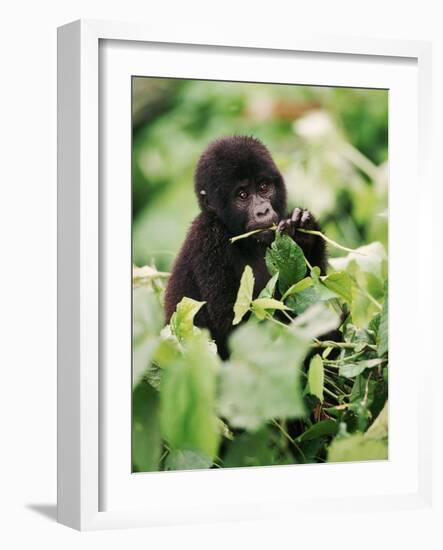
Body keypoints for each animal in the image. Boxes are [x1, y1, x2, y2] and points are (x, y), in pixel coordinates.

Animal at [164, 137, 326, 360]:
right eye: (242, 195)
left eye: (263, 186)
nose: (263, 211)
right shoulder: (208, 237)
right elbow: (239, 327)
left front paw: (305, 234)